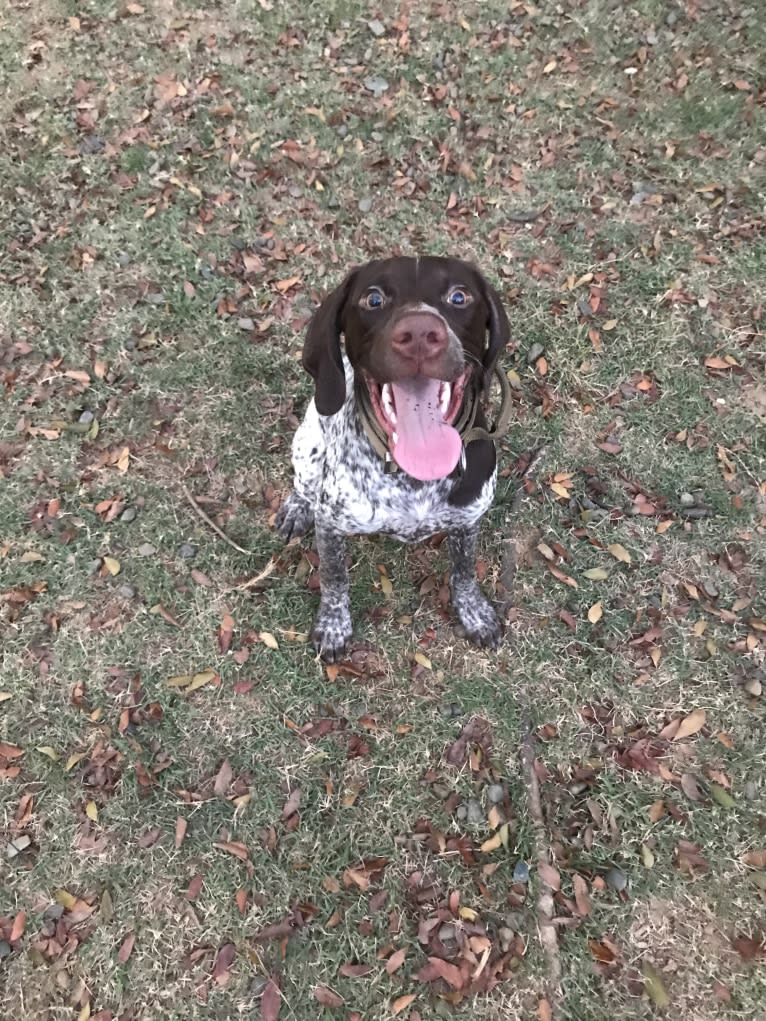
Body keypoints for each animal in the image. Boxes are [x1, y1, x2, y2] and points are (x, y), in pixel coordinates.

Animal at [275, 255, 510, 661]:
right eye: (373, 299)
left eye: (459, 296)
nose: (419, 332)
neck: (412, 477)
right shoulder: (331, 524)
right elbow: (334, 579)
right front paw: (333, 625)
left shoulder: (468, 519)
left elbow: (464, 572)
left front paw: (474, 612)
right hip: (306, 446)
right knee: (303, 485)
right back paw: (296, 507)